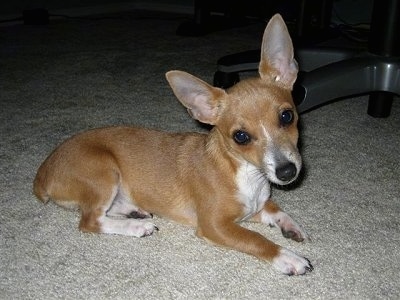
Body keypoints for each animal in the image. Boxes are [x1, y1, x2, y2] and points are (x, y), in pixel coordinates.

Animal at [33, 14, 312, 276]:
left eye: (287, 116)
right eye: (240, 137)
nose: (287, 171)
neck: (245, 173)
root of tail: (43, 174)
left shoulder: (255, 207)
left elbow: (277, 210)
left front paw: (291, 226)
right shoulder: (215, 226)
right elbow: (256, 239)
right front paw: (288, 257)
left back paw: (134, 211)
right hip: (103, 170)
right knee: (90, 221)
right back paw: (136, 226)